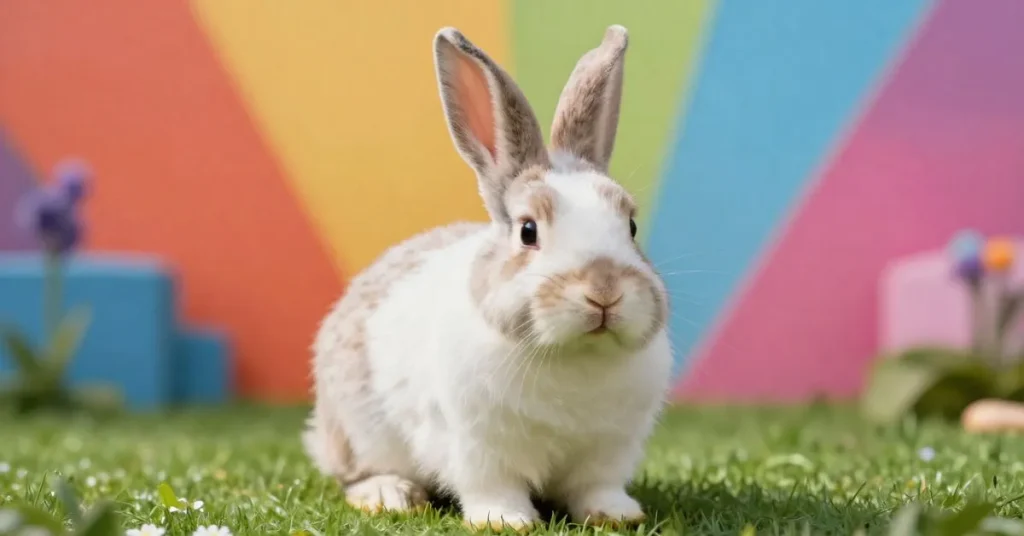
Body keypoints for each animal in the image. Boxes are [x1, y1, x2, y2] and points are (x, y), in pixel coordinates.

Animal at [303, 24, 673, 531]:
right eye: (528, 231)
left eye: (631, 226)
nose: (604, 292)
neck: (573, 356)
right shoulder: (477, 446)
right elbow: (493, 487)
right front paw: (506, 521)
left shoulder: (608, 450)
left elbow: (596, 486)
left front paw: (616, 515)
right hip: (359, 432)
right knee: (355, 474)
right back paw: (390, 494)